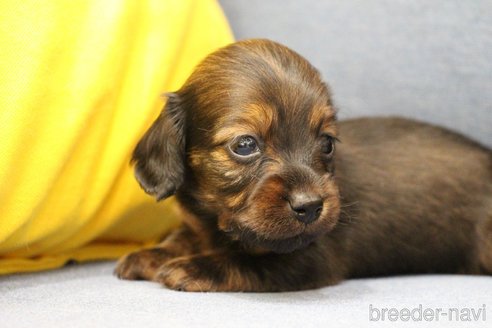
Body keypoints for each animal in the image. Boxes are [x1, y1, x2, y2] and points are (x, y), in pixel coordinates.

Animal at [116, 38, 492, 292]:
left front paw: (194, 268)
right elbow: (185, 236)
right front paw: (153, 254)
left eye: (327, 143)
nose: (310, 207)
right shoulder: (199, 224)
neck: (218, 224)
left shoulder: (309, 258)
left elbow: (249, 262)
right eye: (245, 145)